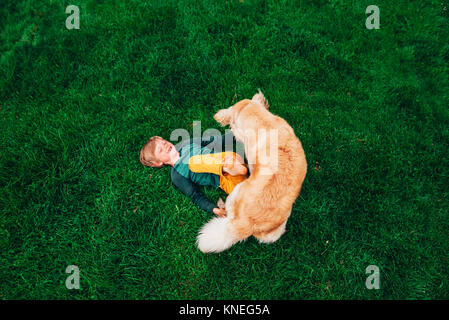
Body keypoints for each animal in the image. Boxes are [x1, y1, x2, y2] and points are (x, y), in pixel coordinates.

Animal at [197, 90, 308, 252]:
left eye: (232, 125)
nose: (233, 132)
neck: (263, 121)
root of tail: (245, 225)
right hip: (276, 231)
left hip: (236, 192)